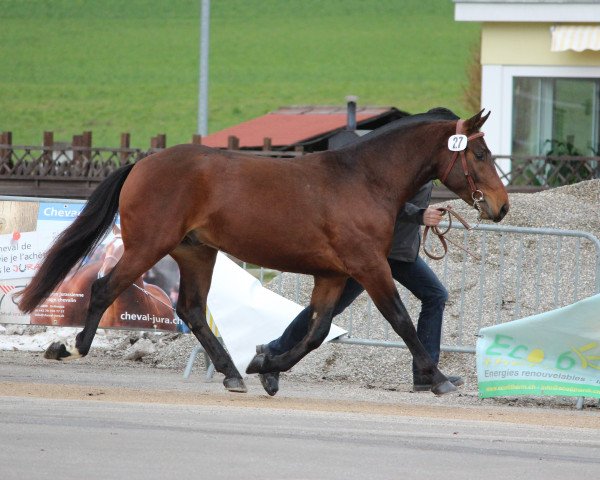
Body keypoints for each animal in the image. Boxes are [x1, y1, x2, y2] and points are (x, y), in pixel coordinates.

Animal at [16, 110, 508, 396]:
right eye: (480, 153)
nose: (502, 206)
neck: (363, 179)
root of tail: (143, 164)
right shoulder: (368, 267)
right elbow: (401, 320)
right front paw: (439, 379)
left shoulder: (333, 274)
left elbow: (316, 330)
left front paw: (265, 364)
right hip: (149, 246)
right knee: (104, 288)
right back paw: (71, 347)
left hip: (197, 254)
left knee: (192, 310)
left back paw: (232, 373)